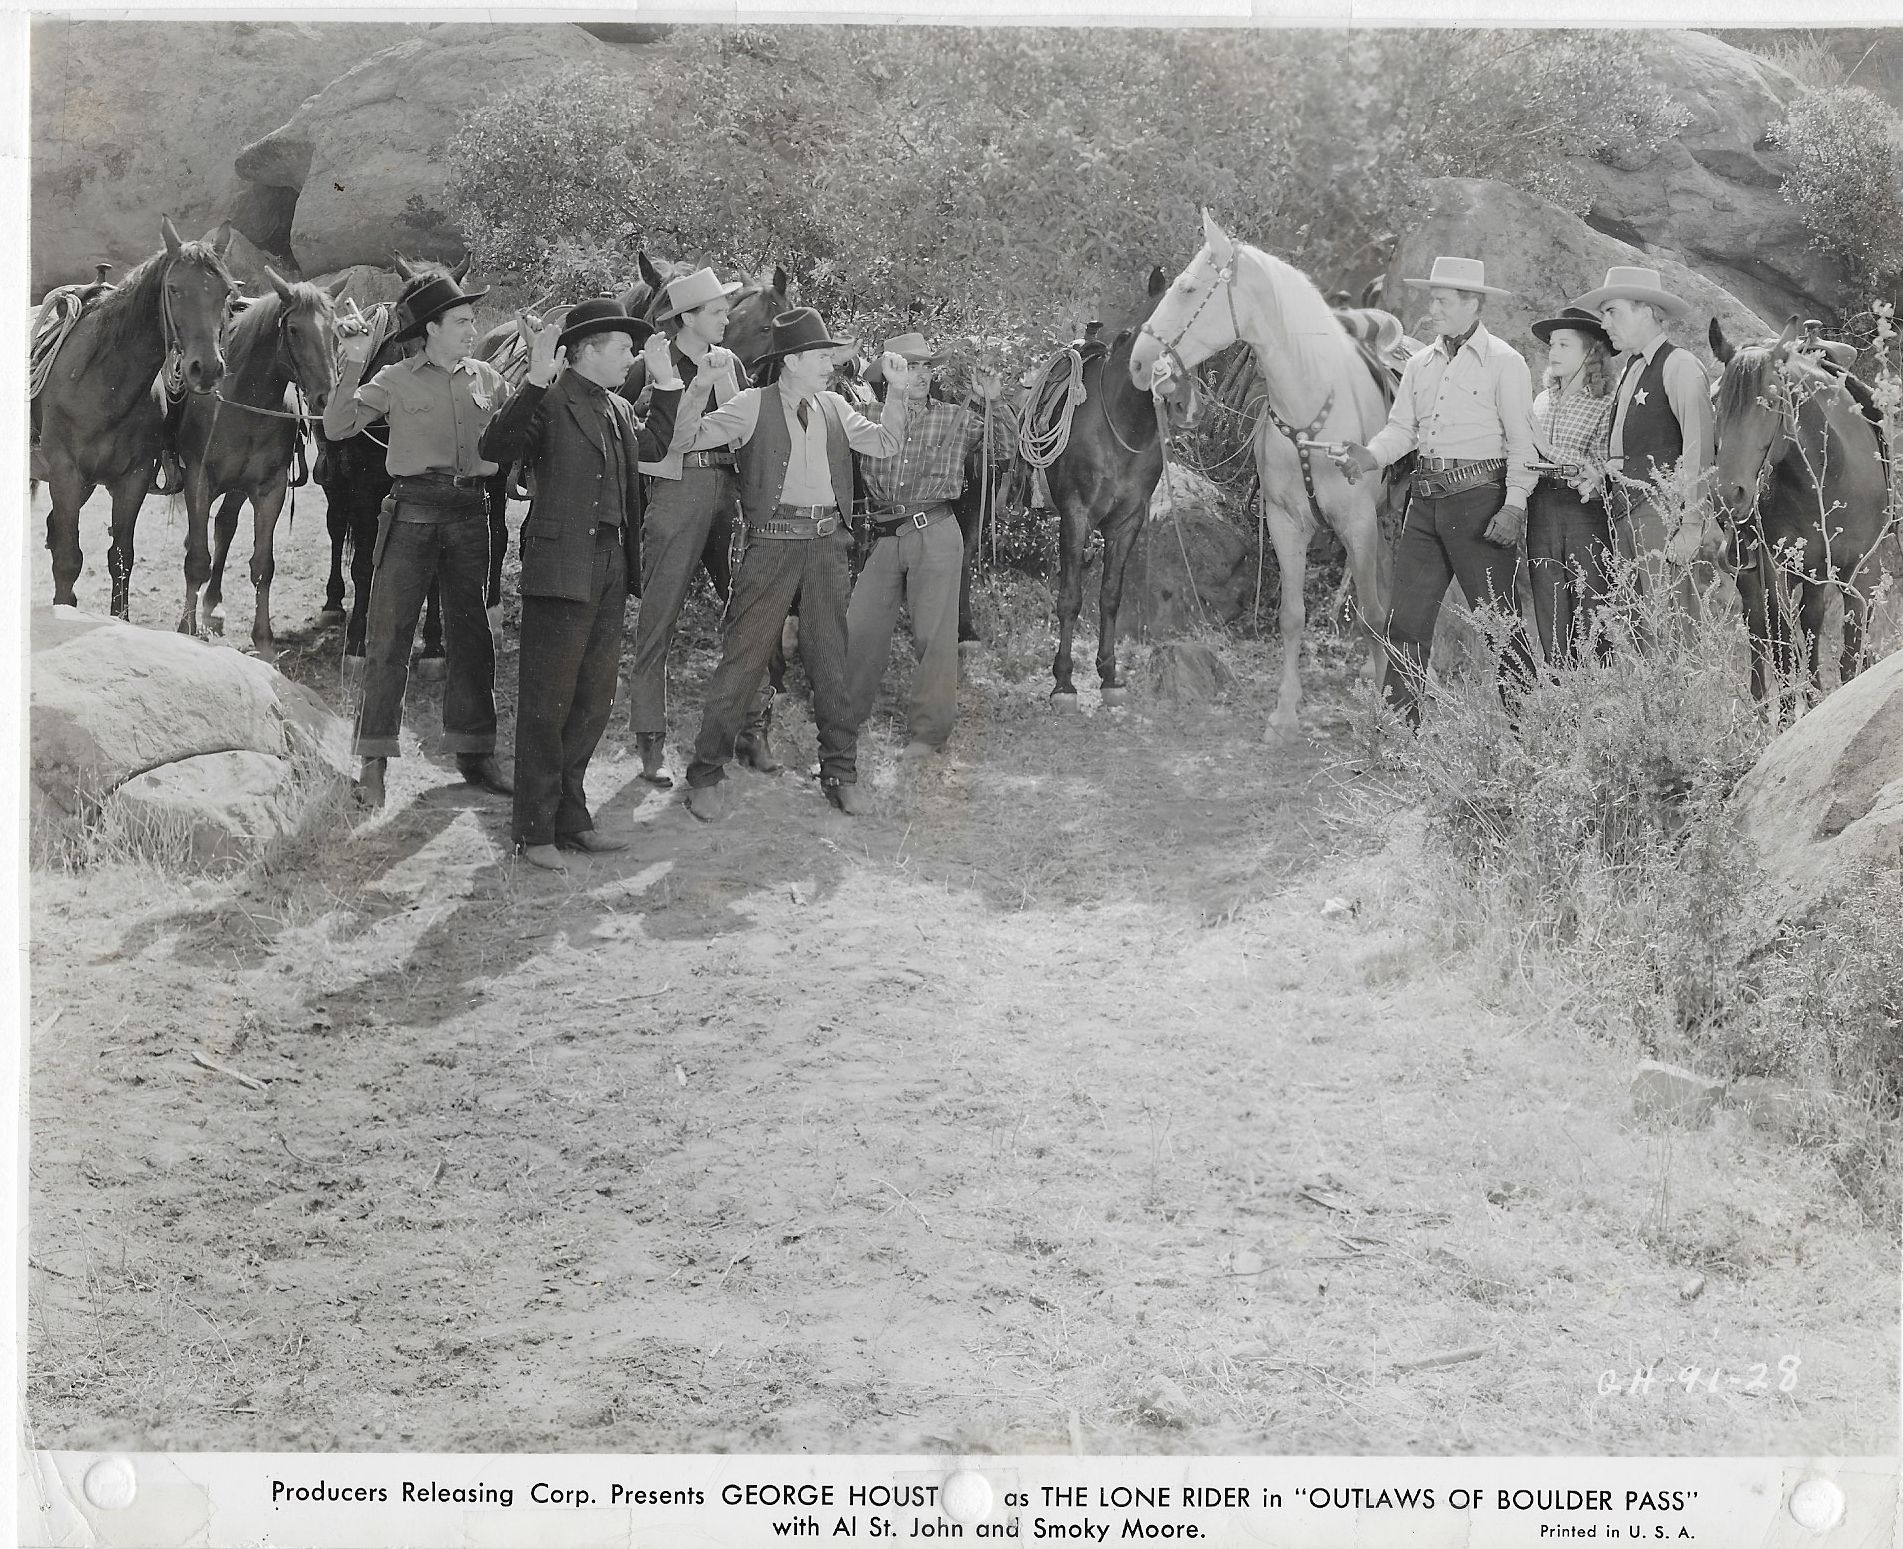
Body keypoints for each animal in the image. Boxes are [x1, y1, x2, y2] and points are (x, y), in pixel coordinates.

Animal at [36, 218, 235, 620]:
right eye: (174, 289)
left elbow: (121, 558)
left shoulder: (133, 478)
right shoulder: (64, 473)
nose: (206, 368)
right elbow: (68, 559)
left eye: (225, 292)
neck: (103, 381)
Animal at [187, 272, 352, 650]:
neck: (244, 402)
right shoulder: (199, 482)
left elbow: (263, 564)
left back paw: (213, 605)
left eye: (334, 329)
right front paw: (184, 628)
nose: (327, 398)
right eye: (293, 329)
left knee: (225, 526)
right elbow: (197, 559)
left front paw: (263, 638)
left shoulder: (269, 489)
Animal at [1126, 209, 1400, 738]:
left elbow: (1371, 615)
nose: (1140, 363)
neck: (1311, 415)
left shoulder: (1356, 523)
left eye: (1188, 288)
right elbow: (1292, 616)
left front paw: (1381, 704)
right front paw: (1286, 711)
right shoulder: (1285, 522)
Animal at [1712, 315, 1887, 715]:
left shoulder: (1861, 571)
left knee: (1809, 625)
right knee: (1760, 631)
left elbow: (1848, 651)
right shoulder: (1772, 569)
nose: (1730, 494)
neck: (1829, 474)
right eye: (1717, 401)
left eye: (1772, 400)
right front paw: (1788, 715)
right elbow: (1780, 644)